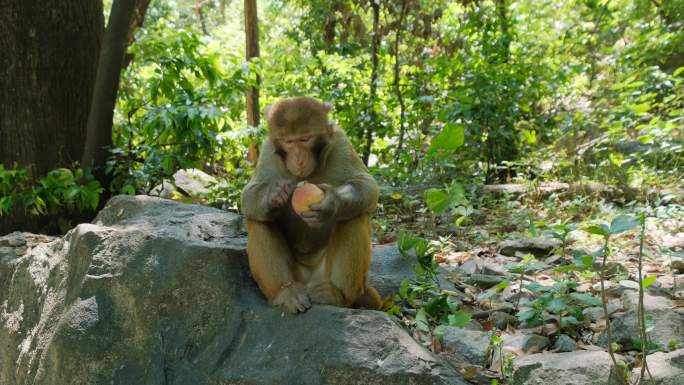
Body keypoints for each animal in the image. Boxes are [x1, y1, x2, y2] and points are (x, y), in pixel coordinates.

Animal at [240, 95, 382, 312]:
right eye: (289, 141)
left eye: (305, 139)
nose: (299, 158)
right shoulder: (267, 151)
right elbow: (247, 197)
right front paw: (274, 194)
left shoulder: (340, 142)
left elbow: (367, 185)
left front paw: (332, 203)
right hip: (297, 276)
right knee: (258, 220)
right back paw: (286, 293)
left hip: (324, 276)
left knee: (354, 215)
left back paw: (337, 296)